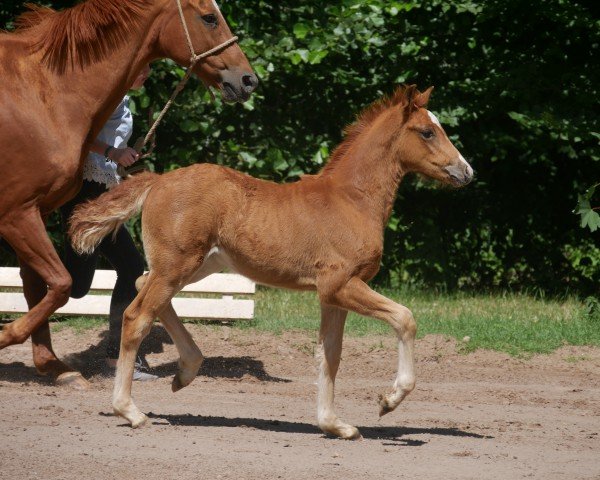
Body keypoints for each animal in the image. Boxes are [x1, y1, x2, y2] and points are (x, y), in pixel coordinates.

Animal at [0, 0, 255, 388]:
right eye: (209, 17)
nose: (248, 80)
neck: (45, 93)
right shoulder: (16, 213)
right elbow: (60, 284)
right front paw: (5, 337)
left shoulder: (35, 211)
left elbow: (36, 286)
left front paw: (54, 367)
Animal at [70, 85, 474, 438]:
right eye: (427, 132)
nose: (467, 171)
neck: (352, 200)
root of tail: (158, 181)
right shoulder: (341, 285)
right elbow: (404, 318)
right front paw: (388, 401)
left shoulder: (331, 296)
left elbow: (330, 354)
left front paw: (335, 425)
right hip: (179, 264)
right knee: (137, 315)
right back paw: (131, 411)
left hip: (199, 266)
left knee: (143, 287)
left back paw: (186, 371)